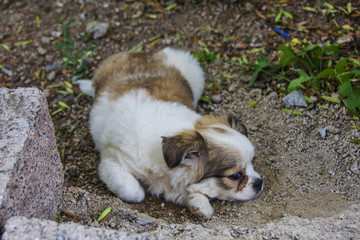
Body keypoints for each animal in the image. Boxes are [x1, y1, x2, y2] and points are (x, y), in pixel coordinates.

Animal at [78, 47, 262, 219]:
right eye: (236, 176)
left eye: (253, 162)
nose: (259, 183)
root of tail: (146, 53)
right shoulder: (112, 162)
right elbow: (132, 191)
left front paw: (199, 203)